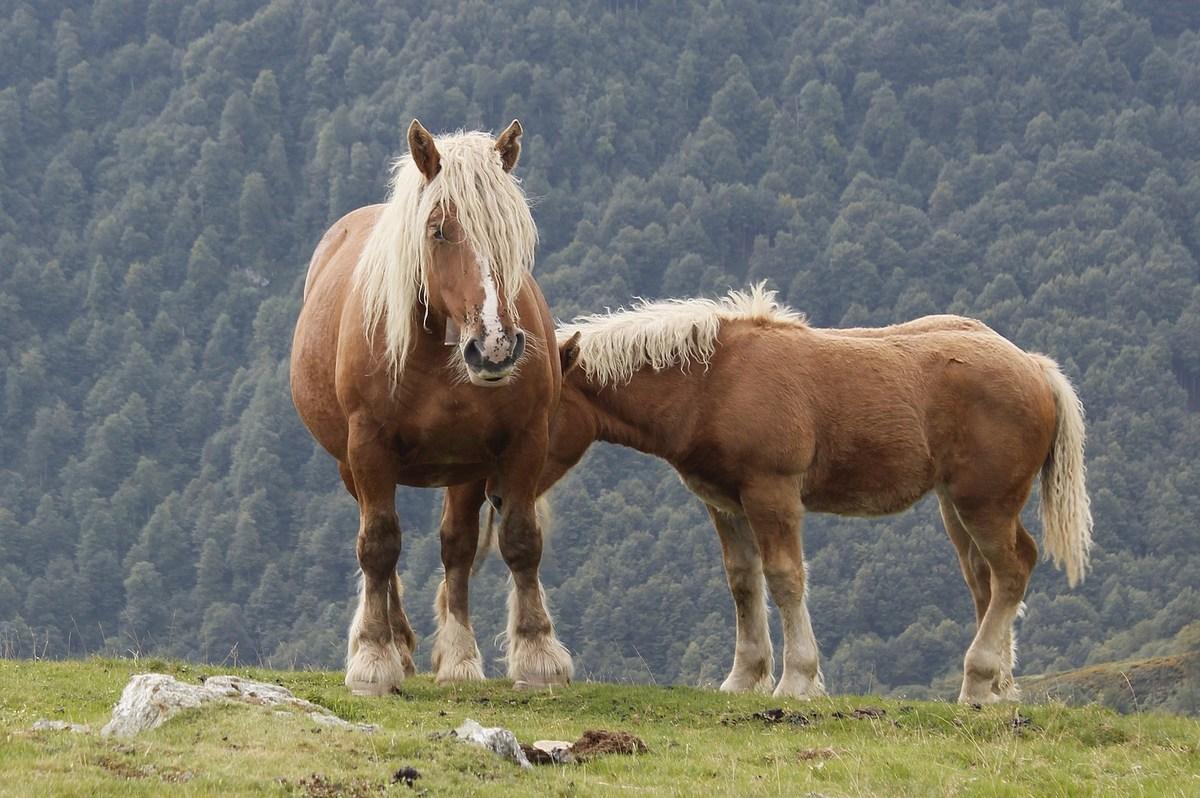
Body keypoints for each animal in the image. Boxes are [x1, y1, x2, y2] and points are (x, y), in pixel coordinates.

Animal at [289, 120, 571, 696]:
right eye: (439, 230)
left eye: (515, 232)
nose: (495, 347)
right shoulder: (368, 447)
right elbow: (378, 544)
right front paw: (374, 658)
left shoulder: (517, 444)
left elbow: (517, 540)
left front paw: (534, 655)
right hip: (351, 466)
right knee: (379, 549)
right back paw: (393, 642)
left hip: (466, 470)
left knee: (456, 547)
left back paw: (455, 656)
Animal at [444, 286, 1099, 705]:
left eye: (540, 413)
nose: (494, 493)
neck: (713, 383)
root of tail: (1034, 367)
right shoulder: (724, 503)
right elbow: (743, 582)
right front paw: (744, 677)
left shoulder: (772, 494)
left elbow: (785, 578)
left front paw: (798, 679)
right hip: (957, 508)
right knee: (985, 581)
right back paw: (999, 688)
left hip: (985, 503)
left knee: (1013, 569)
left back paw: (977, 680)